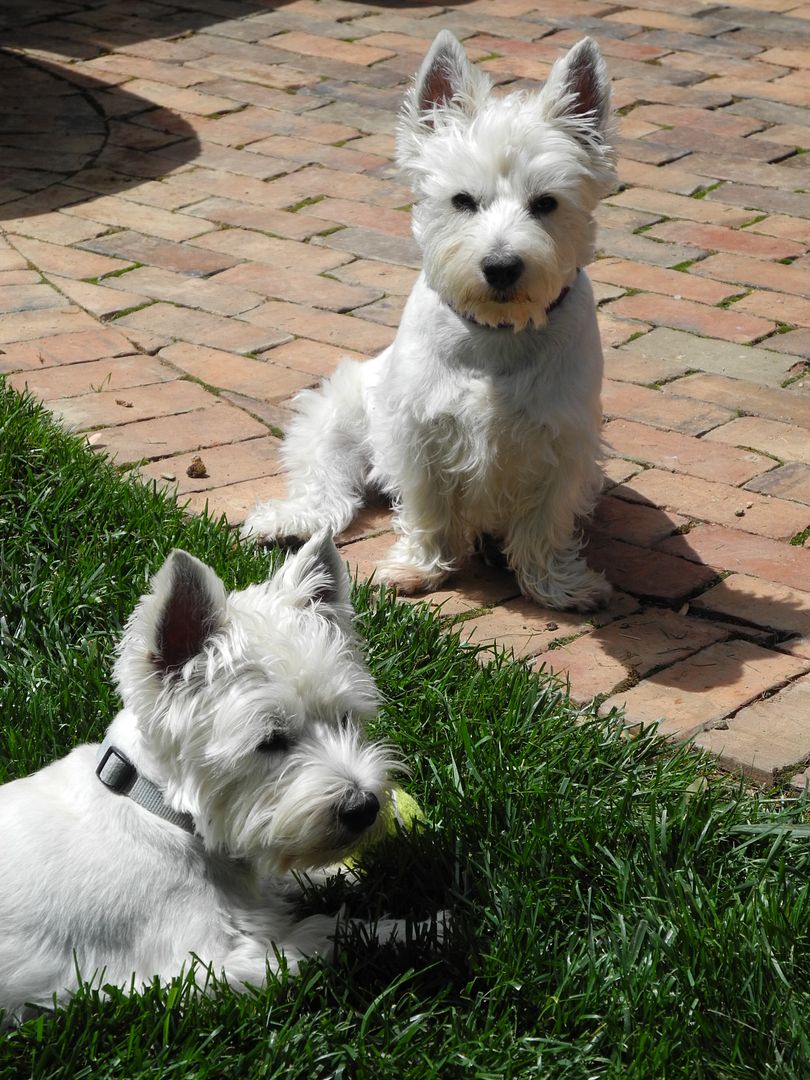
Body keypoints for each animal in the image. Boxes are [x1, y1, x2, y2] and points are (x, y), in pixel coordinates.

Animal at [1, 535, 432, 1023]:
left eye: (344, 718)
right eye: (270, 741)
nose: (364, 808)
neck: (161, 809)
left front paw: (343, 872)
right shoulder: (194, 969)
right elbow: (331, 932)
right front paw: (420, 928)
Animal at [244, 31, 617, 617]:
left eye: (546, 203)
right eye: (462, 200)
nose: (501, 266)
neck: (495, 333)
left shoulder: (565, 442)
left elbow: (544, 523)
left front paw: (557, 585)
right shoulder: (417, 432)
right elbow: (427, 509)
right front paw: (417, 569)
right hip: (336, 415)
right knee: (326, 483)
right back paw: (288, 521)